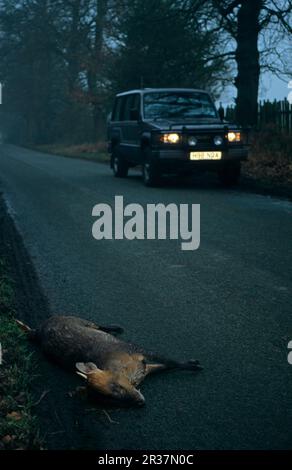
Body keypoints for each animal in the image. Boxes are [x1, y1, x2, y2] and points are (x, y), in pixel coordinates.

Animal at [17, 314, 202, 406]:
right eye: (111, 400)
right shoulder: (144, 367)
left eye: (117, 386)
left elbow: (172, 361)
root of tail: (38, 330)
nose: (140, 402)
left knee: (98, 325)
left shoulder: (138, 351)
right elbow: (166, 365)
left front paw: (194, 364)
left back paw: (116, 328)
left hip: (80, 319)